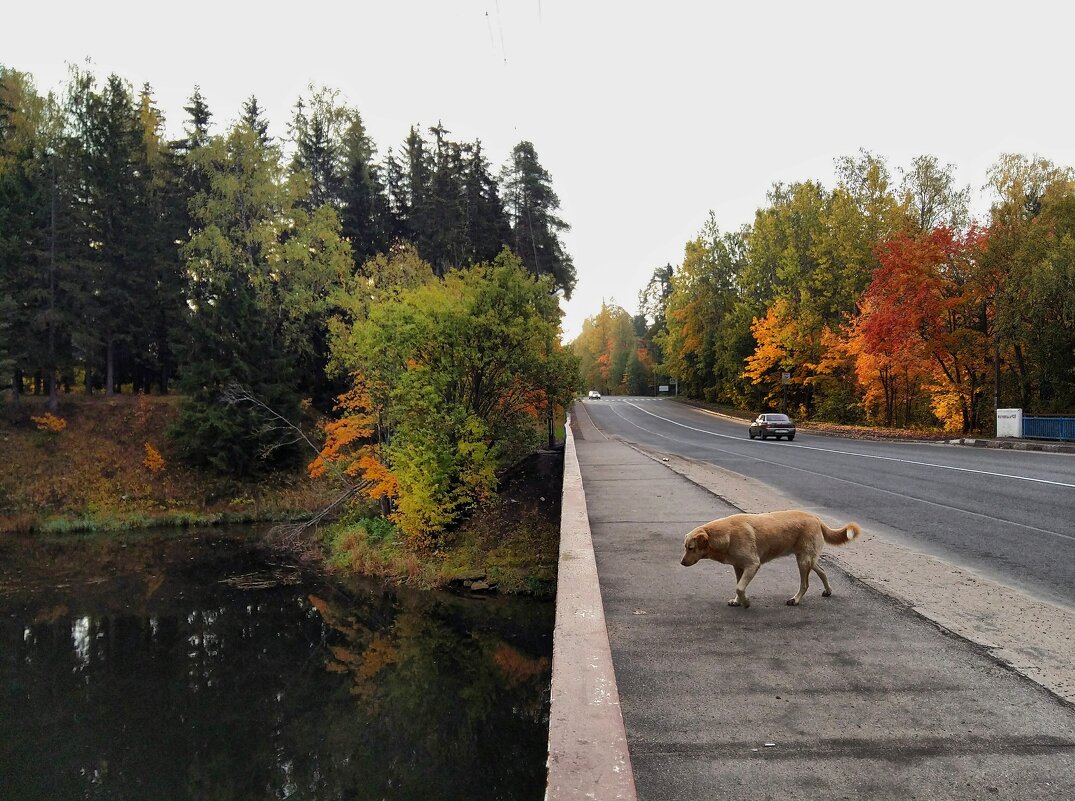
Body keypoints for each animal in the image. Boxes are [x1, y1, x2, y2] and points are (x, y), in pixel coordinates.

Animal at [679, 511, 864, 606]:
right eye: (685, 547)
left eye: (691, 548)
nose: (681, 563)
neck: (726, 535)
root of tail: (816, 518)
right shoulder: (738, 567)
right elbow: (739, 586)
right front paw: (738, 601)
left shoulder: (753, 565)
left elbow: (740, 587)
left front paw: (746, 602)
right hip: (808, 559)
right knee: (822, 571)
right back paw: (827, 590)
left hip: (803, 561)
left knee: (805, 584)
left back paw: (795, 599)